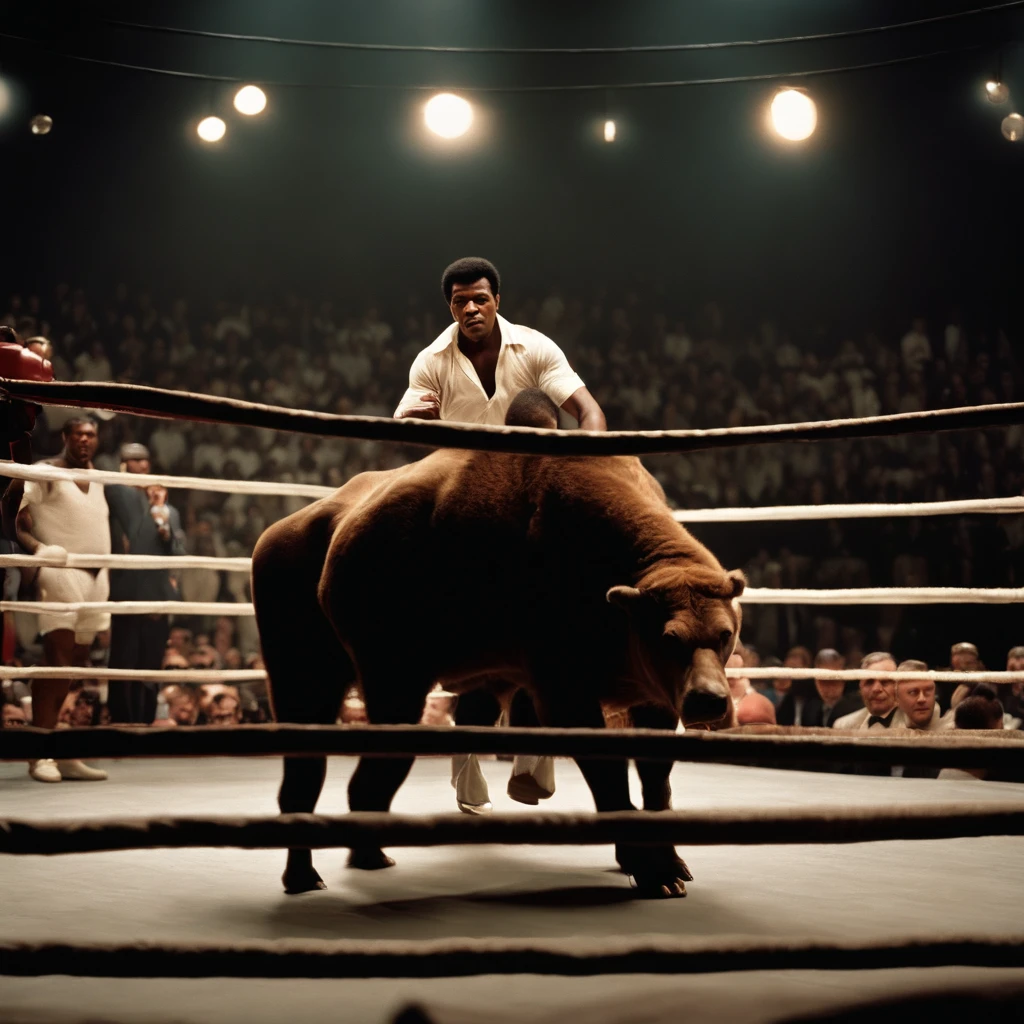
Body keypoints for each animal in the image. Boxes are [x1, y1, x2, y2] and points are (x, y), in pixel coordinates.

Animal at [249, 448, 745, 897]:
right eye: (668, 640)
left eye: (724, 635)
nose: (709, 699)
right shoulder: (565, 693)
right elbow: (608, 776)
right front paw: (647, 865)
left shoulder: (655, 696)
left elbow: (657, 780)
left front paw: (668, 858)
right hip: (331, 679)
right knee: (311, 773)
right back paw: (302, 873)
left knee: (369, 778)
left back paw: (367, 852)